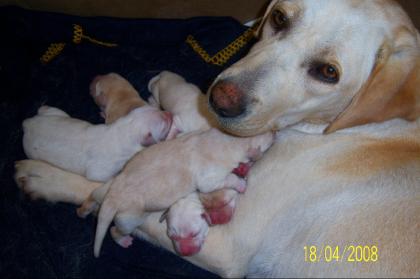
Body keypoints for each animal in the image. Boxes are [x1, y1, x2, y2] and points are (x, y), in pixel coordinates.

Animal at [23, 106, 172, 183]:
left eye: (158, 109)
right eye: (164, 124)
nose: (169, 112)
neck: (123, 130)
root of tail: (27, 124)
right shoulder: (100, 171)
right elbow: (101, 177)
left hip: (54, 114)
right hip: (31, 152)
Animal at [84, 129, 276, 258]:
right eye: (264, 137)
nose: (274, 132)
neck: (223, 142)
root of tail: (113, 198)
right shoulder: (209, 178)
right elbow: (224, 180)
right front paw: (240, 183)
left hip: (110, 185)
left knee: (96, 195)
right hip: (129, 218)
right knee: (115, 230)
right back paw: (122, 240)